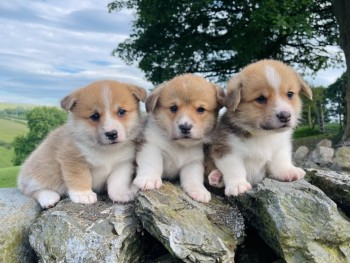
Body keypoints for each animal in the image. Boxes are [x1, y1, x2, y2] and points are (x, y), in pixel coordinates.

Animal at [17, 80, 146, 208]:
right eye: (95, 116)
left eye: (121, 112)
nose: (111, 134)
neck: (106, 150)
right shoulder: (74, 160)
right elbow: (80, 178)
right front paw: (83, 195)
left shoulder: (123, 164)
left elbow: (118, 181)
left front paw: (121, 194)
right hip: (36, 176)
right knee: (32, 190)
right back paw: (49, 198)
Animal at [131, 74, 224, 204]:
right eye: (173, 108)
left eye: (201, 109)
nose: (185, 127)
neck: (180, 145)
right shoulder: (151, 147)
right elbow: (152, 164)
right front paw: (149, 179)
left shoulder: (193, 161)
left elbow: (194, 178)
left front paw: (199, 191)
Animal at [205, 59, 312, 196]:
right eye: (260, 98)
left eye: (290, 94)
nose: (285, 116)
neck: (262, 135)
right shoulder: (227, 149)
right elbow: (234, 168)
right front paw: (238, 185)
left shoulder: (280, 147)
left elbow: (280, 160)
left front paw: (288, 171)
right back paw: (216, 177)